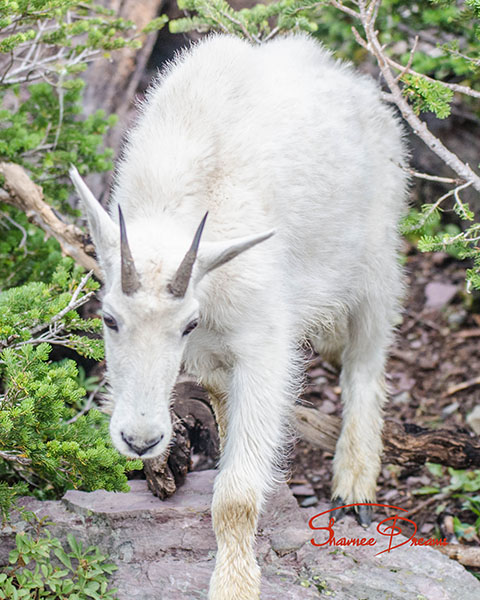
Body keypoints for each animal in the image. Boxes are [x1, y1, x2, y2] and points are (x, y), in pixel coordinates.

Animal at [71, 34, 408, 600]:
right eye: (109, 319)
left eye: (183, 324)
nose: (141, 440)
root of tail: (352, 82)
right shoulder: (210, 349)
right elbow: (224, 412)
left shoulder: (264, 344)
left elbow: (235, 495)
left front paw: (234, 585)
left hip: (377, 251)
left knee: (368, 356)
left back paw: (355, 484)